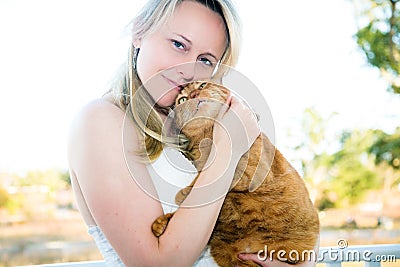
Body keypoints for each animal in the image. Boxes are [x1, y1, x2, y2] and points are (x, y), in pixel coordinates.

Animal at [152, 81, 320, 267]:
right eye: (182, 99)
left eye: (202, 85)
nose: (194, 94)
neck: (207, 137)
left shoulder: (252, 171)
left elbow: (207, 177)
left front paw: (183, 193)